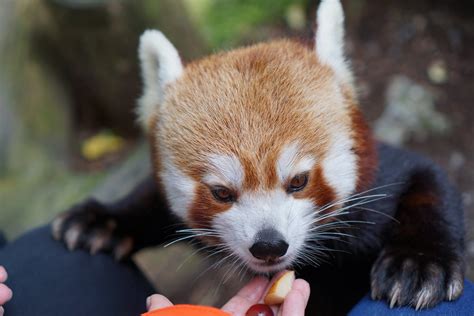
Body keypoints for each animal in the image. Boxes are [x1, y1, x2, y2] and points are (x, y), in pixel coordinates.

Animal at [51, 0, 462, 314]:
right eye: (220, 192)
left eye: (299, 181)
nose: (268, 245)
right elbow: (153, 203)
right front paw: (103, 220)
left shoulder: (375, 186)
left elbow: (427, 181)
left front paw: (419, 262)